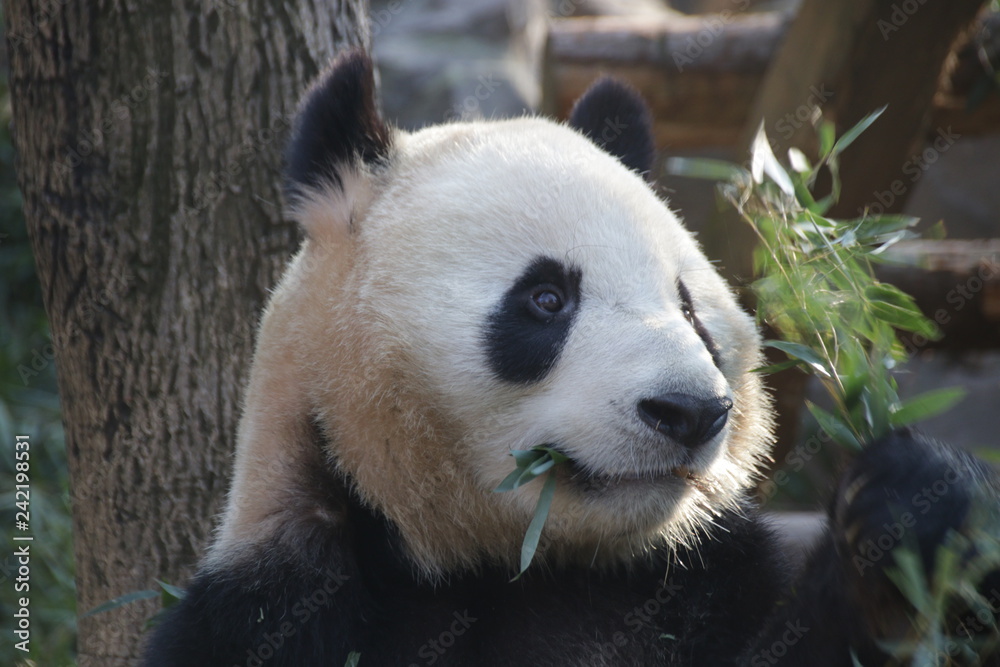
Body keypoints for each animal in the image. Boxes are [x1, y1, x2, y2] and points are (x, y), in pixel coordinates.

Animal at [144, 50, 1000, 666]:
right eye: (546, 298)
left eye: (689, 307)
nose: (689, 411)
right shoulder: (280, 606)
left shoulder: (705, 580)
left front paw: (907, 515)